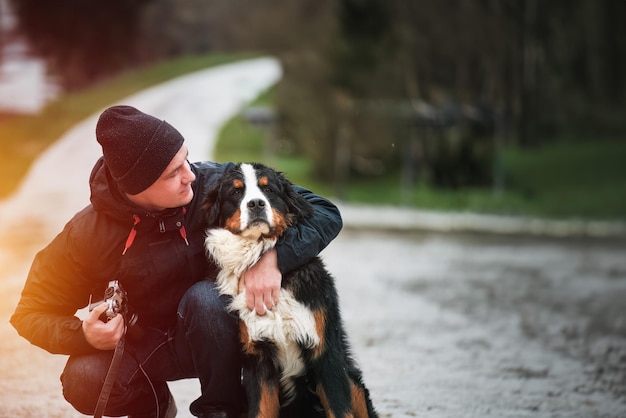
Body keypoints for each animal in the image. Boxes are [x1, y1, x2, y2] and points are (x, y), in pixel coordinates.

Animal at [202, 162, 376, 418]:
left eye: (268, 189)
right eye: (236, 192)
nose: (256, 204)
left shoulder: (327, 355)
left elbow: (339, 409)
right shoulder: (258, 362)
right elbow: (260, 411)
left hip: (352, 380)